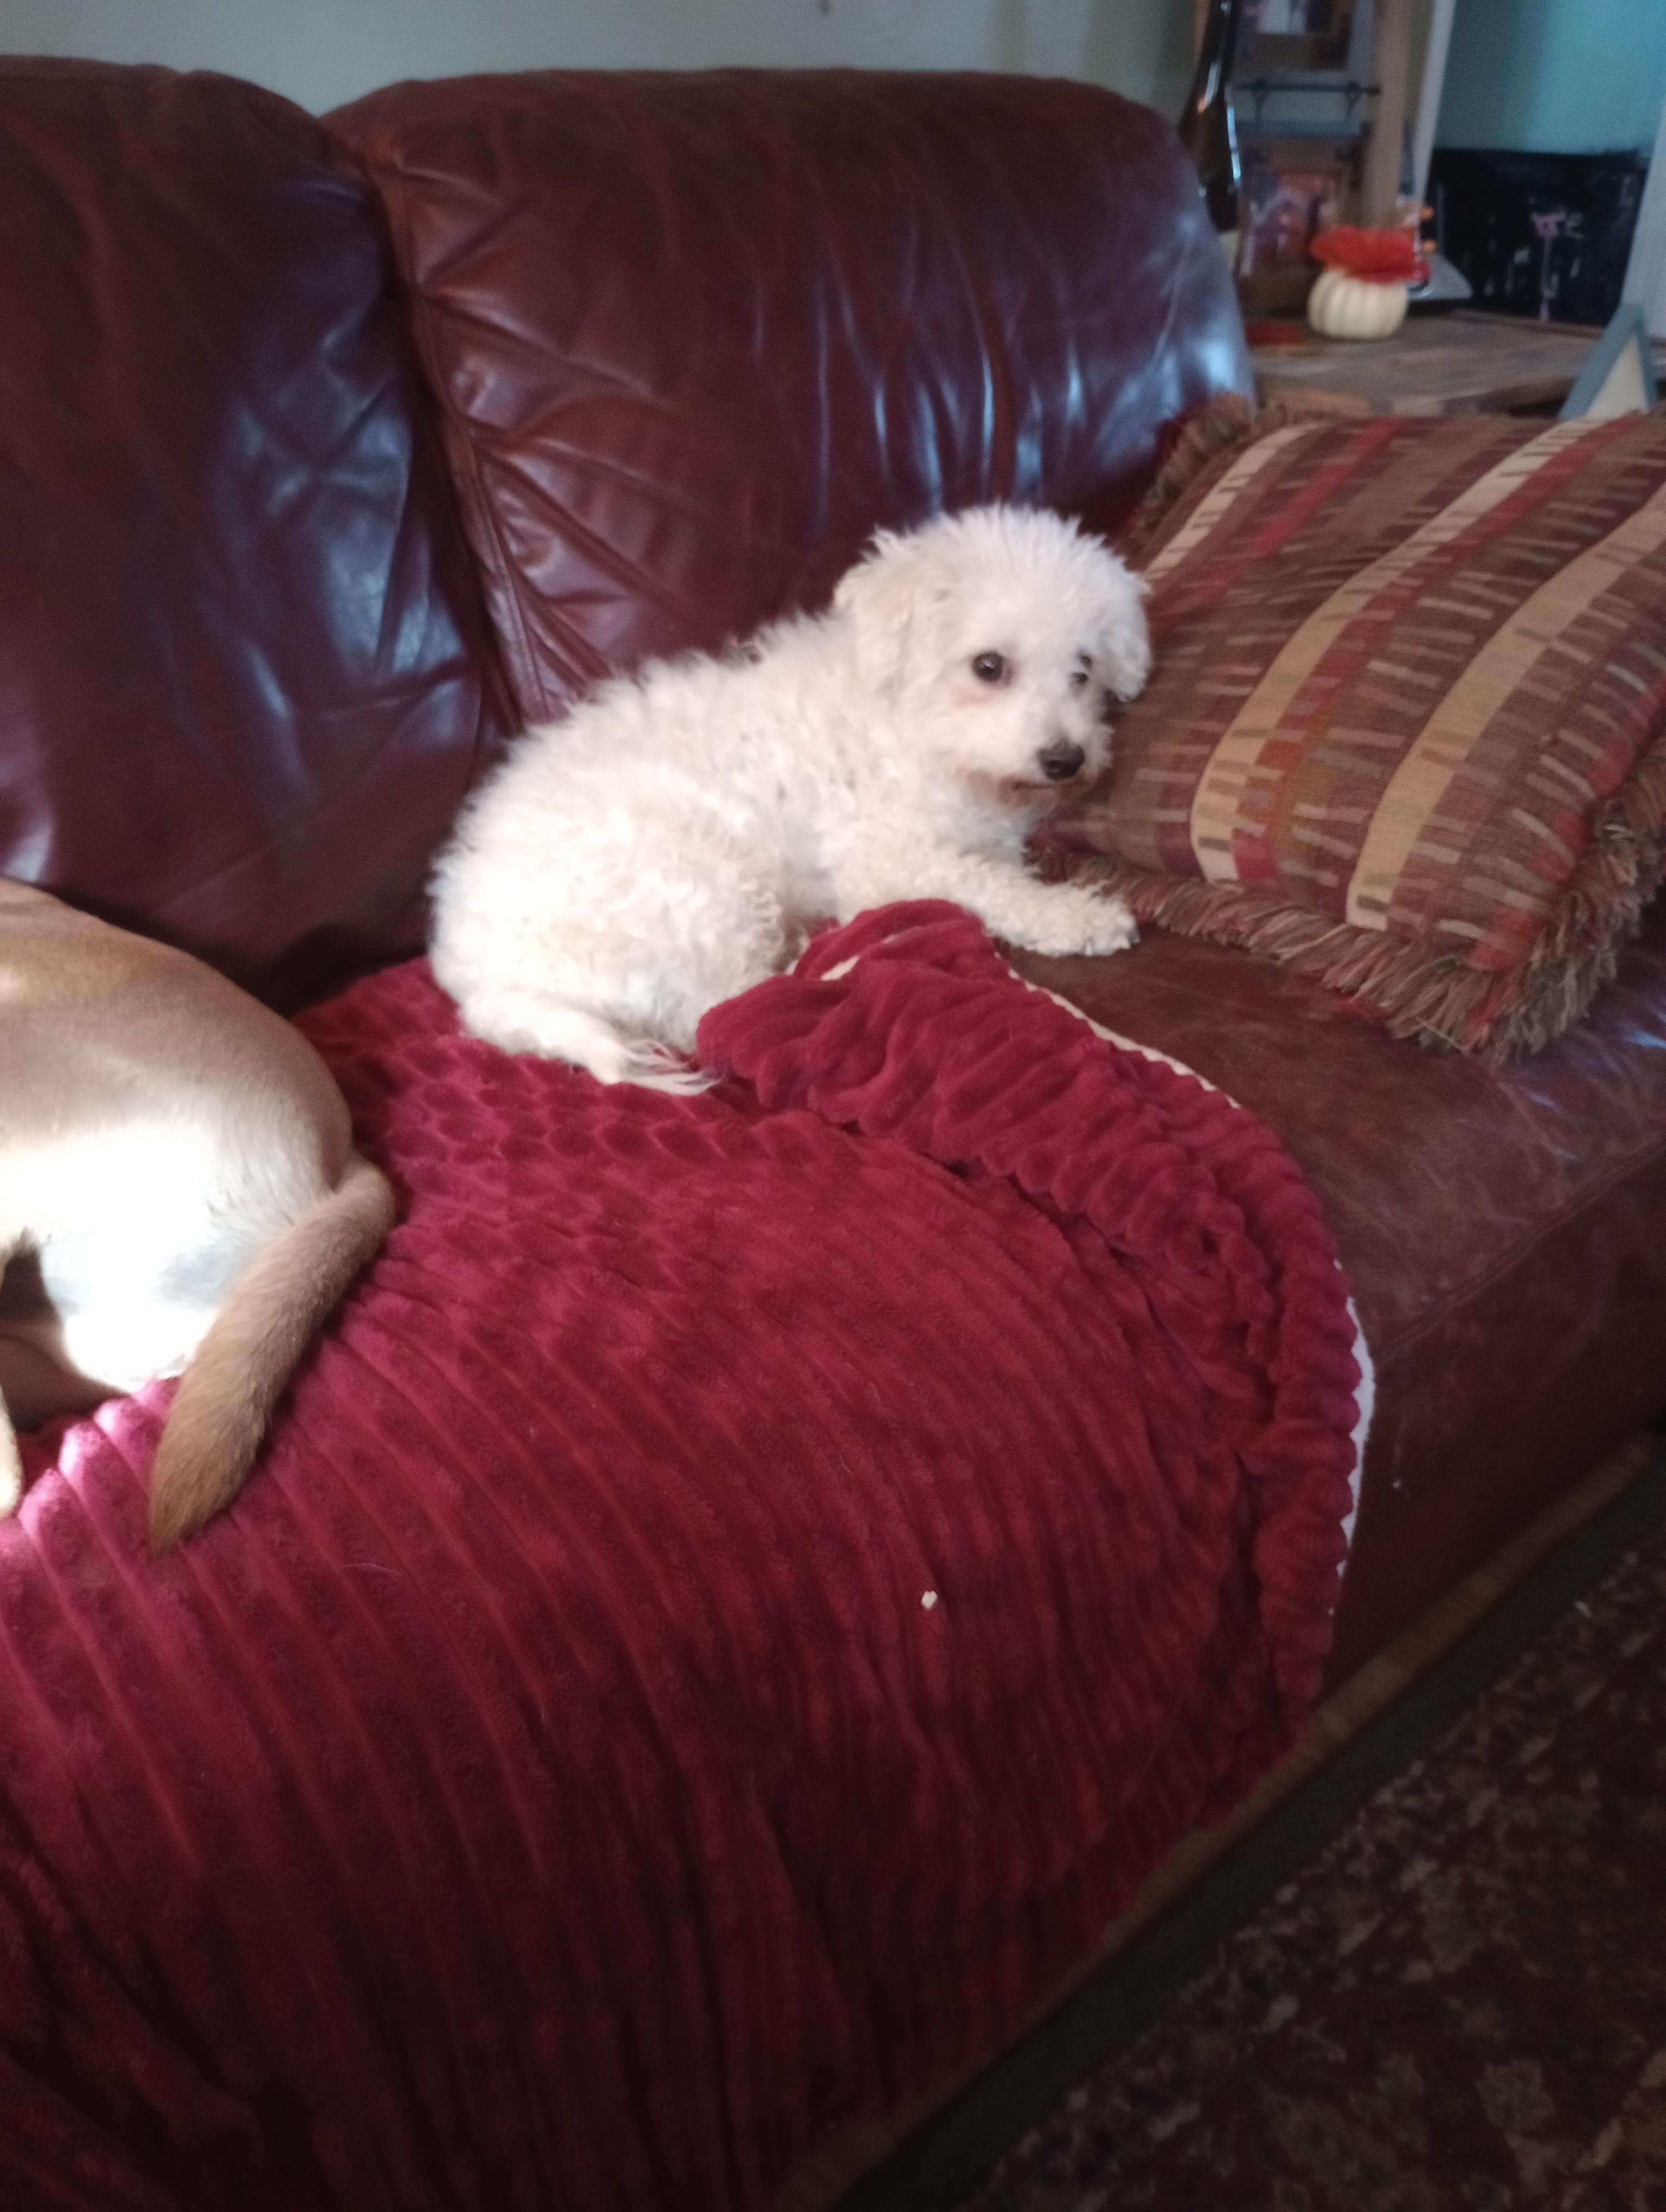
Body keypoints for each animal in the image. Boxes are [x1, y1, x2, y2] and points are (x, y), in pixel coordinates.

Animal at [430, 504, 1149, 1088]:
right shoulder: (887, 862)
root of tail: (485, 987)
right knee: (724, 1009)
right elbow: (992, 886)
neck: (917, 727)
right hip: (703, 886)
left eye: (1083, 670)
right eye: (989, 666)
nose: (1066, 760)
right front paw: (1079, 916)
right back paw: (832, 963)